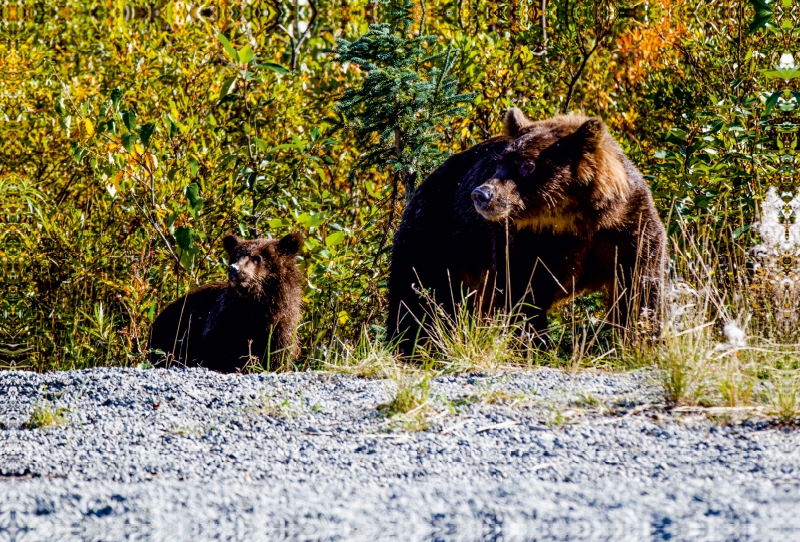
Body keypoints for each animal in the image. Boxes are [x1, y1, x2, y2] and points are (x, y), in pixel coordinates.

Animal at [148, 234, 304, 374]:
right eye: (236, 255)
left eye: (257, 257)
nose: (234, 269)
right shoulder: (225, 320)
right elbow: (216, 349)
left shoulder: (281, 327)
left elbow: (276, 356)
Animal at [388, 109, 668, 356]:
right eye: (500, 161)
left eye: (527, 164)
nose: (481, 194)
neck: (575, 219)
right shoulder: (531, 242)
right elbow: (523, 293)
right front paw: (533, 345)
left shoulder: (627, 228)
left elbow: (639, 288)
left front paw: (641, 340)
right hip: (435, 238)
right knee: (417, 297)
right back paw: (408, 347)